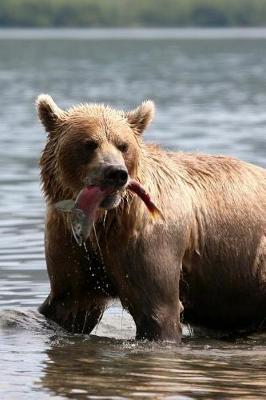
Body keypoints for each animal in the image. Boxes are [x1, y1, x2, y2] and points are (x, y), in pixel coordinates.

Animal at [37, 94, 266, 340]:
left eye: (123, 145)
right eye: (89, 143)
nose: (115, 173)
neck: (104, 221)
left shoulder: (149, 239)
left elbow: (158, 311)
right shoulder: (71, 242)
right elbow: (70, 304)